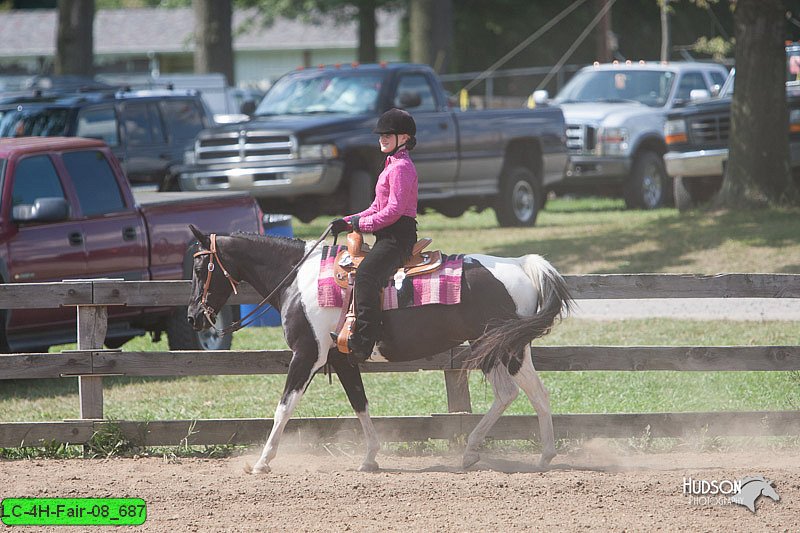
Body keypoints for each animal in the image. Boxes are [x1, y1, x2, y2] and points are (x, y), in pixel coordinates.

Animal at [188, 225, 572, 474]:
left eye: (198, 266)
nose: (193, 316)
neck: (298, 280)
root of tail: (521, 265)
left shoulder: (307, 354)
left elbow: (284, 407)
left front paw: (261, 462)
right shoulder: (341, 359)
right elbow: (360, 403)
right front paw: (370, 458)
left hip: (501, 348)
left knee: (524, 394)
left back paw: (519, 454)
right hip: (502, 349)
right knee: (523, 394)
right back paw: (502, 453)